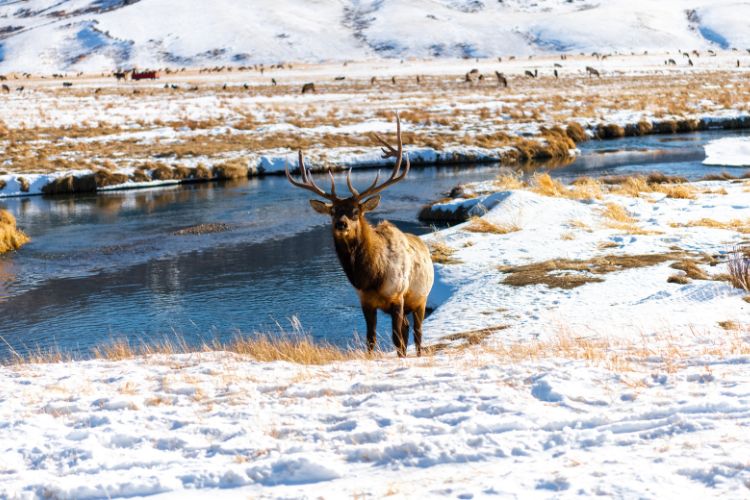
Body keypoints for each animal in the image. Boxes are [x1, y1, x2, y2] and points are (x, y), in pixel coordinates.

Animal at [286, 115, 434, 358]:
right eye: (333, 212)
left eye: (356, 211)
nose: (341, 223)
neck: (371, 276)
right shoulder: (366, 302)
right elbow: (370, 340)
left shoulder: (398, 297)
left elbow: (397, 340)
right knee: (406, 330)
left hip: (420, 298)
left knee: (417, 334)